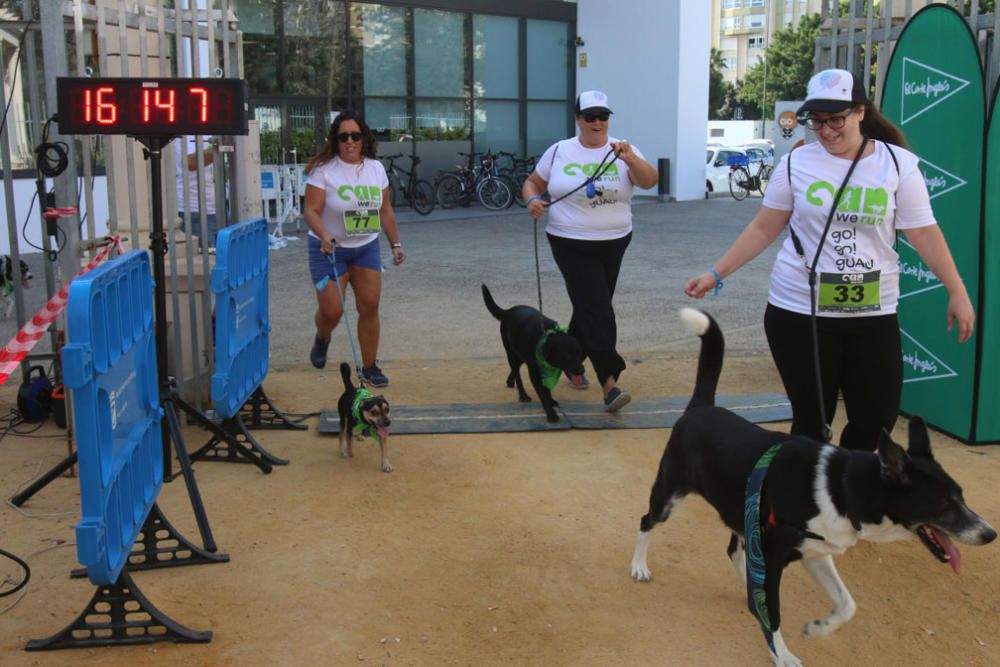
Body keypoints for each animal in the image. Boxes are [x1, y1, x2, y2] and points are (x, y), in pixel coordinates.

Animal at [480, 286, 584, 422]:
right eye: (567, 356)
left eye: (579, 353)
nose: (582, 370)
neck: (546, 338)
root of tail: (508, 311)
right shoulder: (535, 374)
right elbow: (543, 393)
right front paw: (551, 414)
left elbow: (547, 389)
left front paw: (551, 401)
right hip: (511, 353)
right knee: (518, 376)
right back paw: (523, 395)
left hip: (519, 354)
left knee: (515, 369)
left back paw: (510, 381)